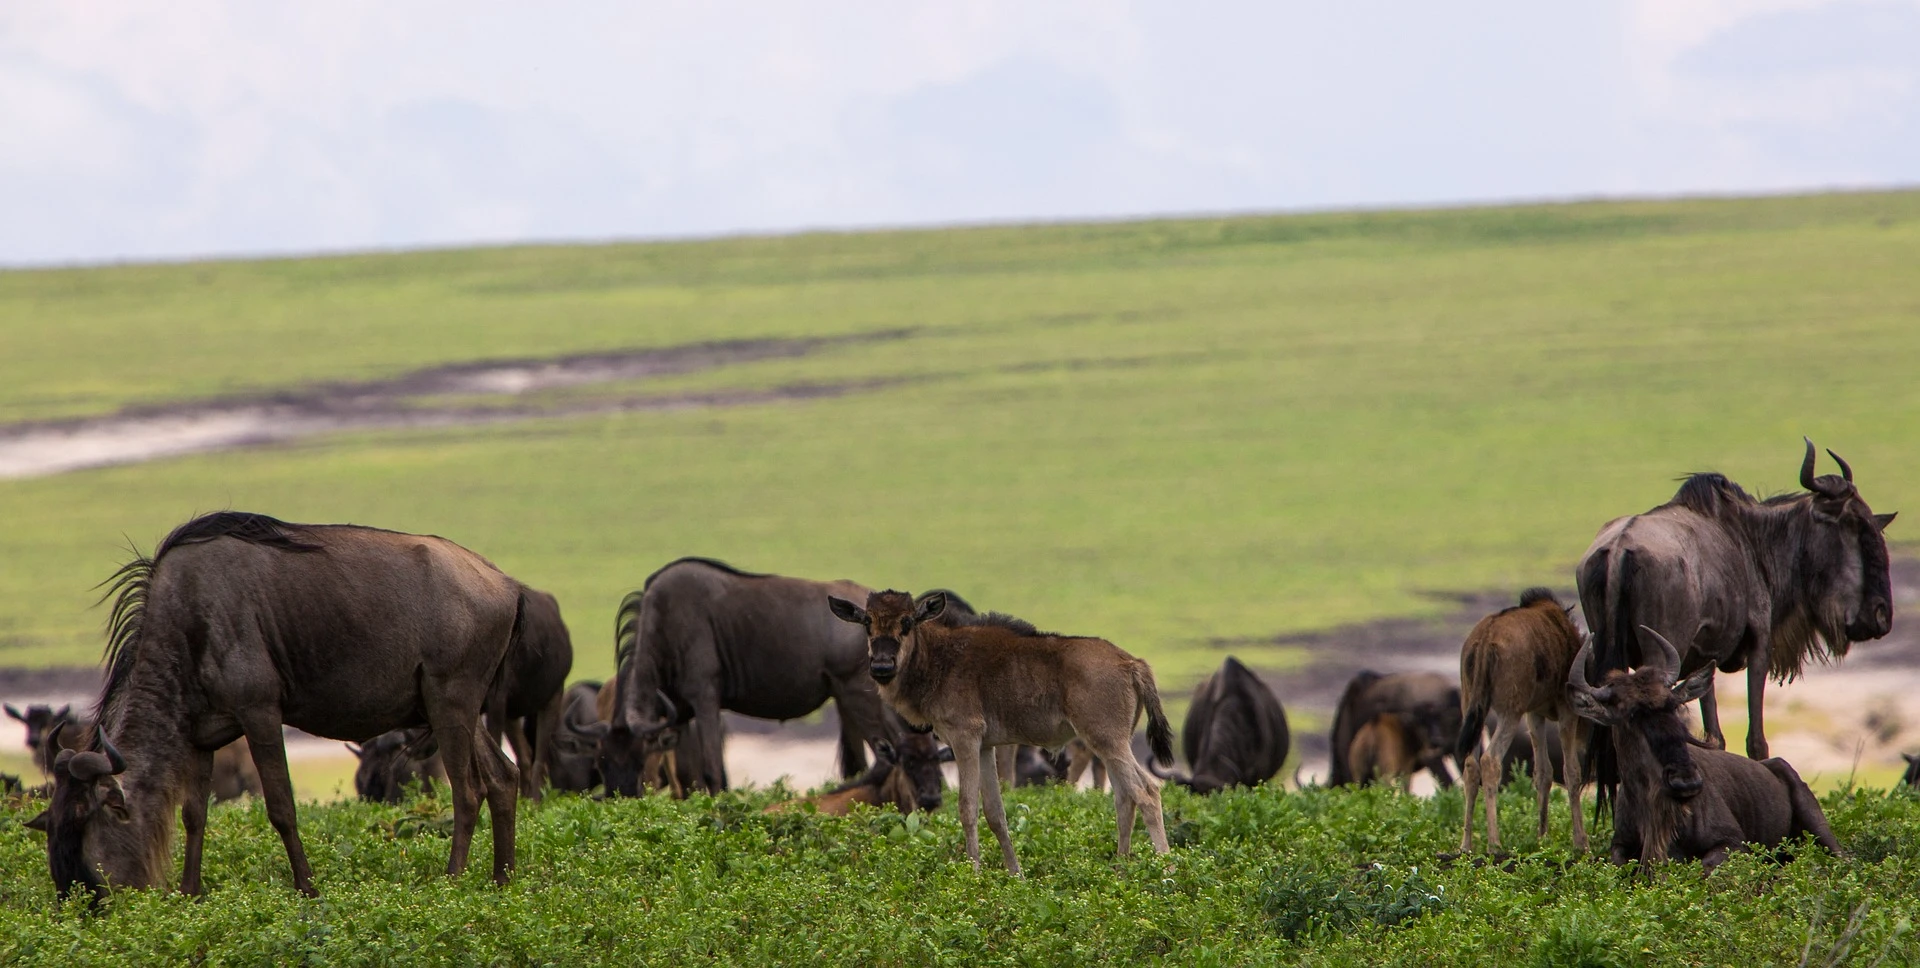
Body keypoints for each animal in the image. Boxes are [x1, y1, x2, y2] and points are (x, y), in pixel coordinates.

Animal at [833, 587, 1175, 871]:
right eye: (867, 622)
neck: (940, 658)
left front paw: (973, 872)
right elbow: (996, 812)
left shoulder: (964, 739)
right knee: (1124, 797)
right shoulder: (985, 747)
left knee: (1146, 791)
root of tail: (1132, 663)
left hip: (1107, 741)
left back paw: (1167, 869)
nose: (882, 667)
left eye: (907, 622)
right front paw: (1015, 874)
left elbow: (967, 807)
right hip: (1110, 743)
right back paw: (1120, 869)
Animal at [1451, 591, 1589, 852]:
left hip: (1471, 705)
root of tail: (1485, 639)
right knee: (1490, 760)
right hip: (1509, 712)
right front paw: (1580, 842)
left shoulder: (1534, 713)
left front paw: (1542, 837)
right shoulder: (1566, 709)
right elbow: (1572, 771)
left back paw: (1466, 844)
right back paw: (1494, 843)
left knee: (1471, 765)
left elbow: (1543, 772)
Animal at [1574, 626, 1843, 868]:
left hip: (1822, 832)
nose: (1686, 781)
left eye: (1673, 705)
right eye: (1630, 714)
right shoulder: (1619, 846)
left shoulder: (1733, 843)